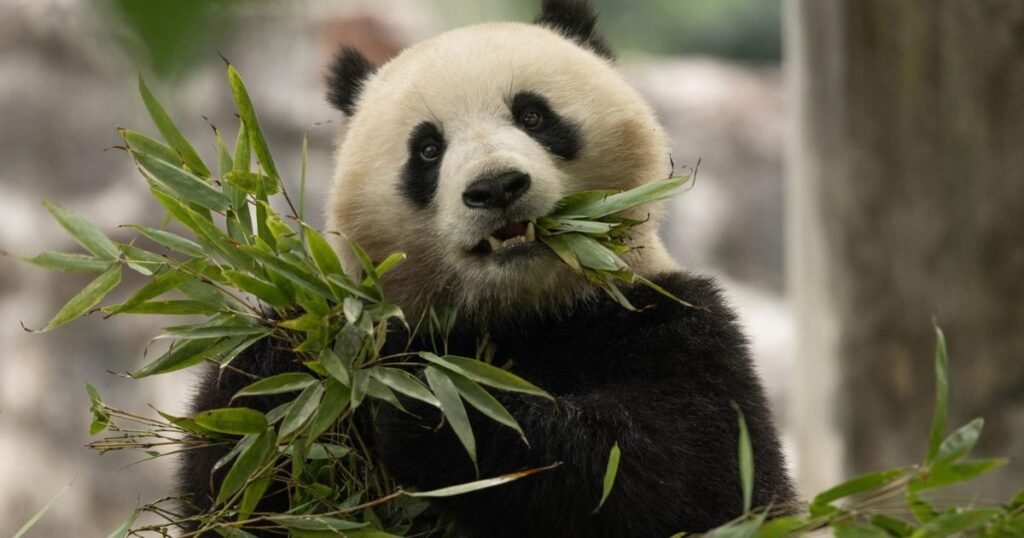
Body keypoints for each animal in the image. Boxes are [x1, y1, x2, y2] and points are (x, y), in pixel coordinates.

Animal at [180, 0, 797, 536]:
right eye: (428, 149)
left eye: (533, 115)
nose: (496, 187)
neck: (519, 312)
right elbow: (235, 484)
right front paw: (287, 365)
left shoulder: (674, 323)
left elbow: (688, 474)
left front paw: (432, 410)